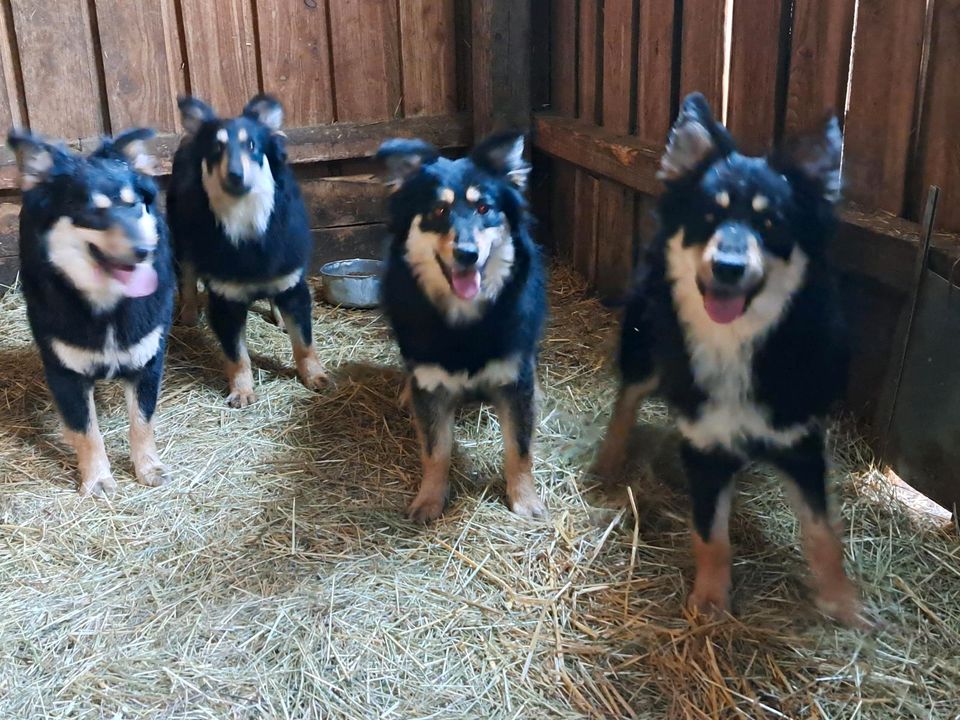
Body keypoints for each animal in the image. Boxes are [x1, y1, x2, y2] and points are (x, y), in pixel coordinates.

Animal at [8, 126, 174, 496]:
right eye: (94, 213)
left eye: (133, 205)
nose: (144, 250)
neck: (108, 303)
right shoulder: (65, 373)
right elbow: (86, 431)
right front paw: (97, 478)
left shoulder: (147, 362)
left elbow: (142, 421)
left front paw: (149, 468)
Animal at [167, 93, 328, 408]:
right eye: (216, 148)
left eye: (251, 145)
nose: (235, 174)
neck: (247, 221)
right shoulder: (225, 300)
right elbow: (237, 355)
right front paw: (242, 391)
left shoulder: (293, 285)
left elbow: (304, 342)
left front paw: (315, 376)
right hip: (183, 242)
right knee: (188, 282)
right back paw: (189, 317)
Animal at [376, 131, 548, 524]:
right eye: (439, 211)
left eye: (484, 209)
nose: (467, 254)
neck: (465, 320)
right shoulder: (430, 384)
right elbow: (435, 450)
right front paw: (429, 501)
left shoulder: (515, 378)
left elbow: (519, 448)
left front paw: (524, 500)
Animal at [592, 94, 864, 624]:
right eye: (707, 216)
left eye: (771, 222)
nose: (728, 267)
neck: (737, 341)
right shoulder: (704, 445)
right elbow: (710, 533)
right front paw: (712, 600)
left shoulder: (800, 439)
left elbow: (823, 532)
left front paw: (842, 602)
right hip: (644, 344)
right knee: (627, 398)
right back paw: (608, 461)